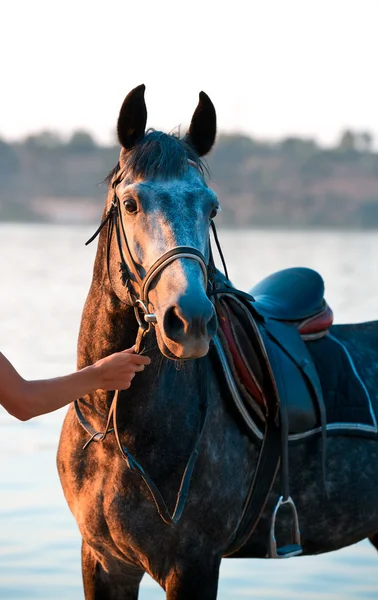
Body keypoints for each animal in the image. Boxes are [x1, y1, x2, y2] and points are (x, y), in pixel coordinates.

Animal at [56, 85, 378, 600]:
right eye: (130, 203)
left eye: (211, 207)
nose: (189, 320)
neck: (113, 427)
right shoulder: (104, 561)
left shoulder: (193, 564)